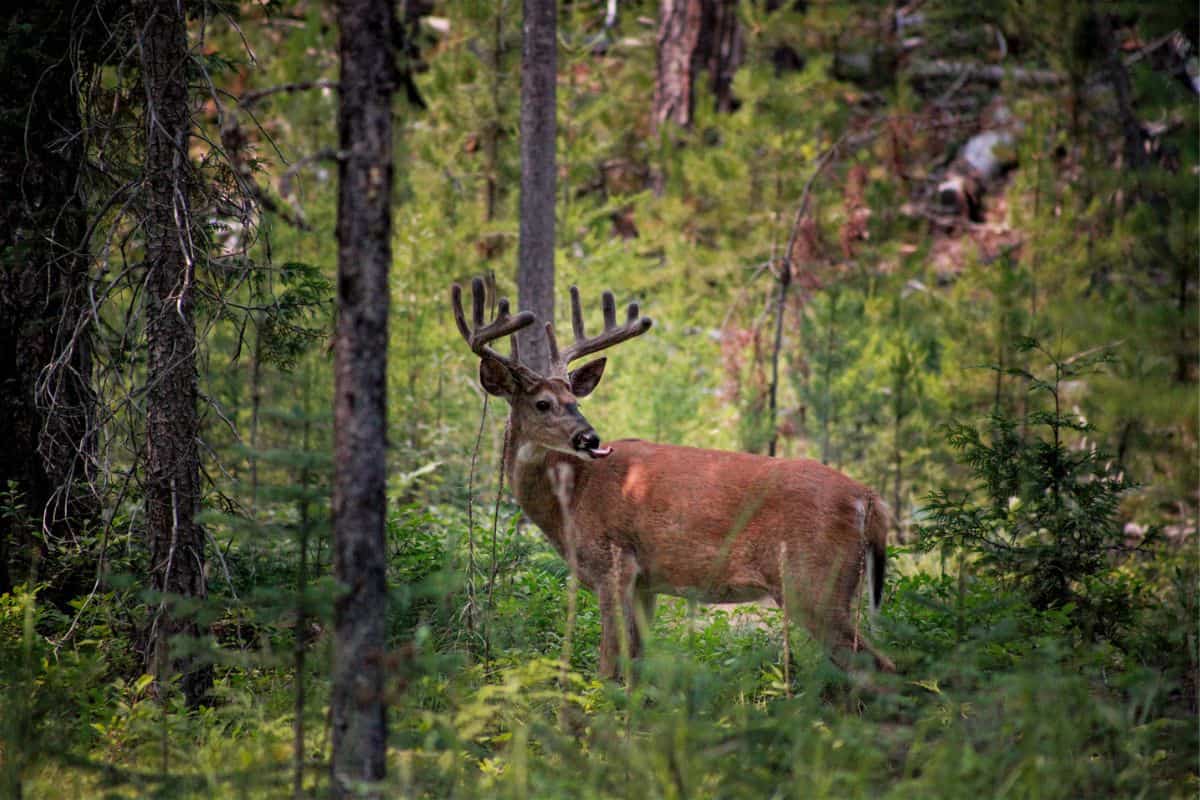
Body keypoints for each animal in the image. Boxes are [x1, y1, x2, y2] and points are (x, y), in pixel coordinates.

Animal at [451, 278, 892, 681]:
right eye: (543, 403)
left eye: (574, 401)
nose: (590, 438)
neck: (571, 499)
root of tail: (869, 500)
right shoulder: (646, 583)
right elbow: (636, 667)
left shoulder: (613, 563)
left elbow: (607, 666)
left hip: (812, 581)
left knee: (880, 667)